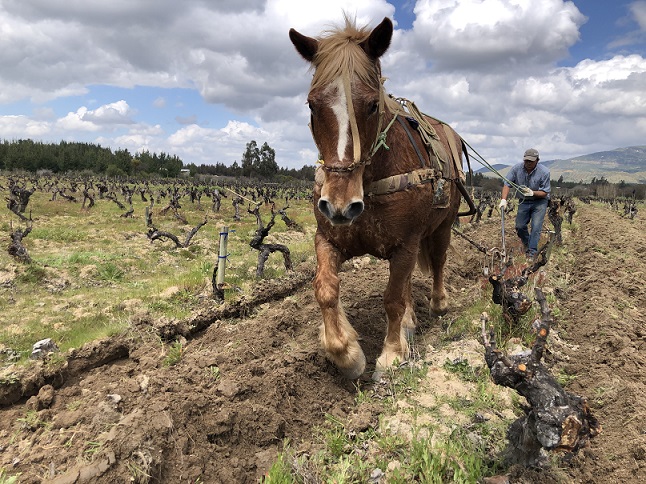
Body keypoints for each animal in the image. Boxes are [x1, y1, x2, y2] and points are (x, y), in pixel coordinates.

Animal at [292, 17, 470, 380]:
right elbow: (325, 289)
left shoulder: (407, 243)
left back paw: (438, 303)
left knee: (438, 262)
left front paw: (391, 353)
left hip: (441, 227)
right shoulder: (327, 239)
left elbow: (392, 299)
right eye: (312, 104)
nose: (340, 205)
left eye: (373, 105)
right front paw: (346, 353)